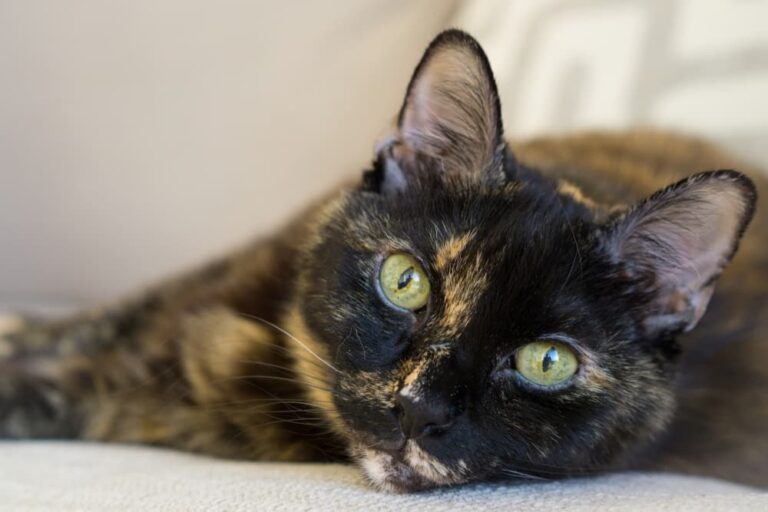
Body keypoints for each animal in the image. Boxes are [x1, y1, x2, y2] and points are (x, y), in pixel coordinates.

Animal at [1, 29, 768, 492]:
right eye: (405, 280)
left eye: (547, 361)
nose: (417, 407)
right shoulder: (190, 291)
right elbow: (90, 323)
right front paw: (19, 330)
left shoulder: (158, 402)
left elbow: (47, 393)